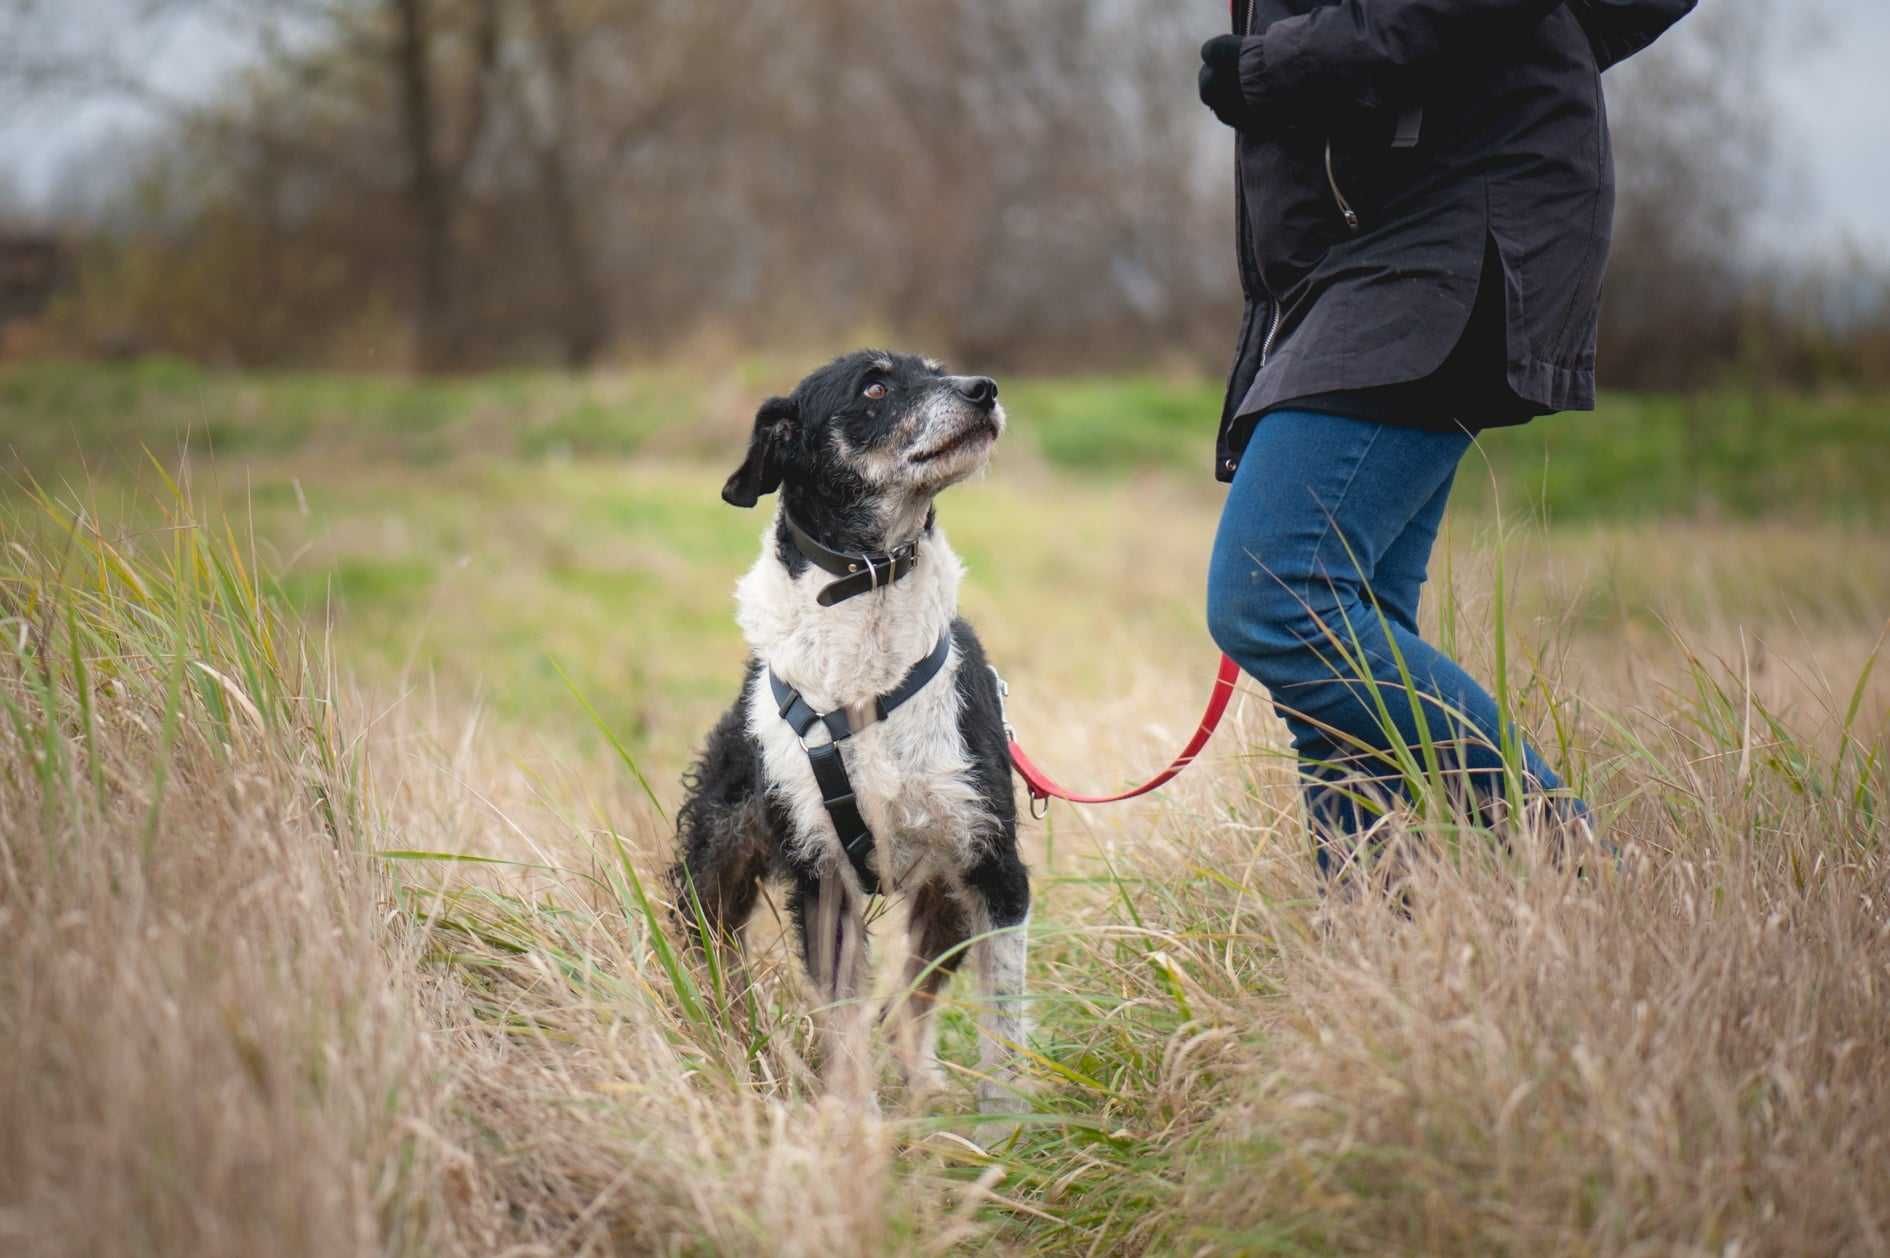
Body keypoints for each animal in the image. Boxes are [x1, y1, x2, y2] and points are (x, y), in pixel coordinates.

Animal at [669, 347, 1035, 1103]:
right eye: (873, 387)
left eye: (940, 370)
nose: (983, 390)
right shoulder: (824, 879)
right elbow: (842, 1020)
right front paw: (853, 1116)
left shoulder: (993, 866)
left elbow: (1004, 1029)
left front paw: (1011, 1119)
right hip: (717, 856)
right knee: (711, 955)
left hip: (944, 902)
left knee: (908, 1002)